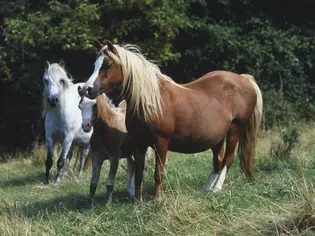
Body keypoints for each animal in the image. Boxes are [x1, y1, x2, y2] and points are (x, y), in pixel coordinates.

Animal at [80, 41, 262, 203]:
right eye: (95, 65)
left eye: (107, 65)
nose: (87, 89)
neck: (150, 102)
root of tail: (244, 79)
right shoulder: (139, 144)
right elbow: (138, 174)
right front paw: (137, 201)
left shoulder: (161, 143)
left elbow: (158, 173)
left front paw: (158, 199)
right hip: (217, 138)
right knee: (217, 161)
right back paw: (206, 188)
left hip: (235, 129)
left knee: (228, 159)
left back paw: (217, 188)